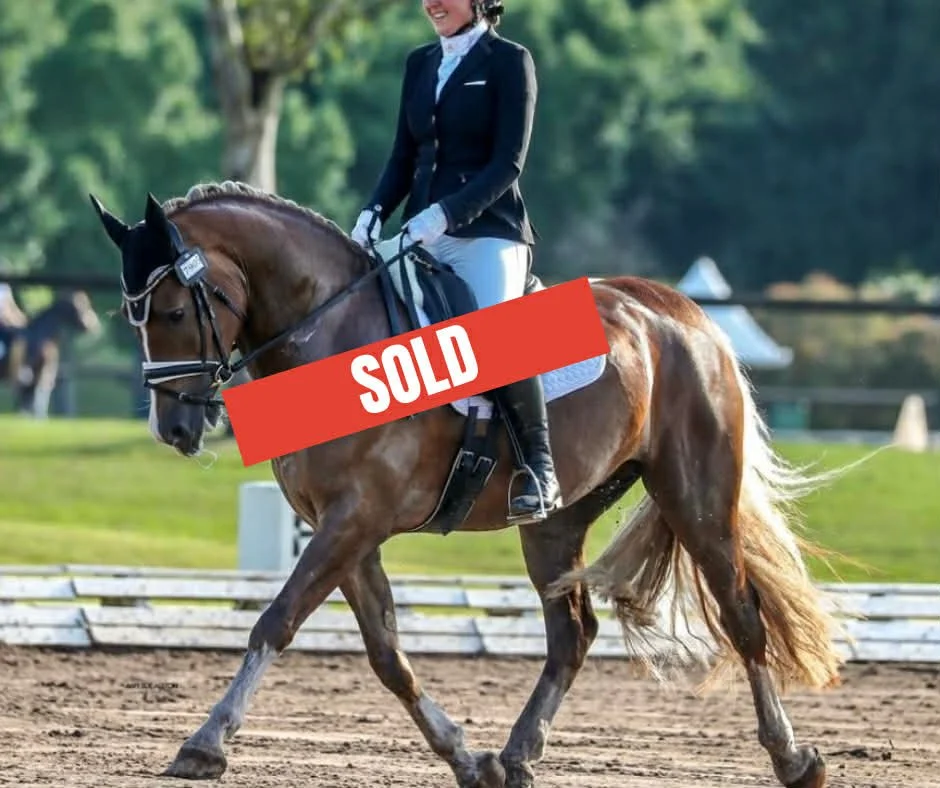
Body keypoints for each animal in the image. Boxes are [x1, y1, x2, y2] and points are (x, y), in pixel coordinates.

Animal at [89, 180, 853, 788]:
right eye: (134, 317)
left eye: (175, 312)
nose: (175, 429)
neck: (334, 335)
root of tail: (683, 311)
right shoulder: (348, 532)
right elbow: (388, 655)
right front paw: (466, 757)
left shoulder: (354, 519)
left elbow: (275, 621)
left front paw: (204, 744)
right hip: (555, 521)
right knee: (572, 634)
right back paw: (516, 756)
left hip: (695, 494)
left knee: (741, 613)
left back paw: (793, 759)